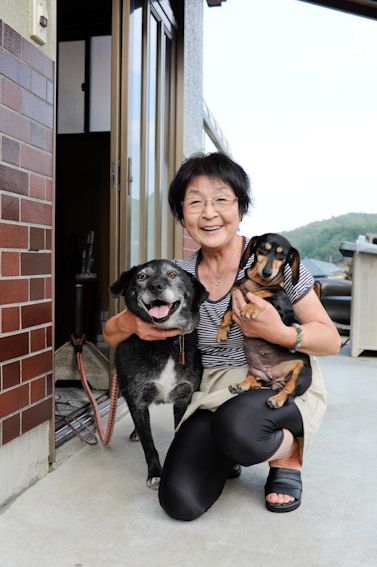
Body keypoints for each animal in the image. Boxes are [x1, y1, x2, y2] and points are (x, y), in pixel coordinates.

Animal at [108, 260, 209, 488]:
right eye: (142, 277)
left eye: (172, 274)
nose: (156, 286)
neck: (165, 342)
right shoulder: (136, 398)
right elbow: (149, 444)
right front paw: (155, 473)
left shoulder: (184, 398)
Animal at [214, 234, 312, 408]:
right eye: (262, 248)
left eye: (282, 255)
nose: (267, 272)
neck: (257, 283)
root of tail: (274, 380)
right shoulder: (234, 297)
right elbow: (226, 314)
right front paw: (222, 332)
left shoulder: (278, 307)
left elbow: (262, 299)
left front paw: (249, 308)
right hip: (254, 371)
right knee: (255, 381)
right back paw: (241, 385)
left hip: (301, 371)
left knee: (289, 391)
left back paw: (277, 399)